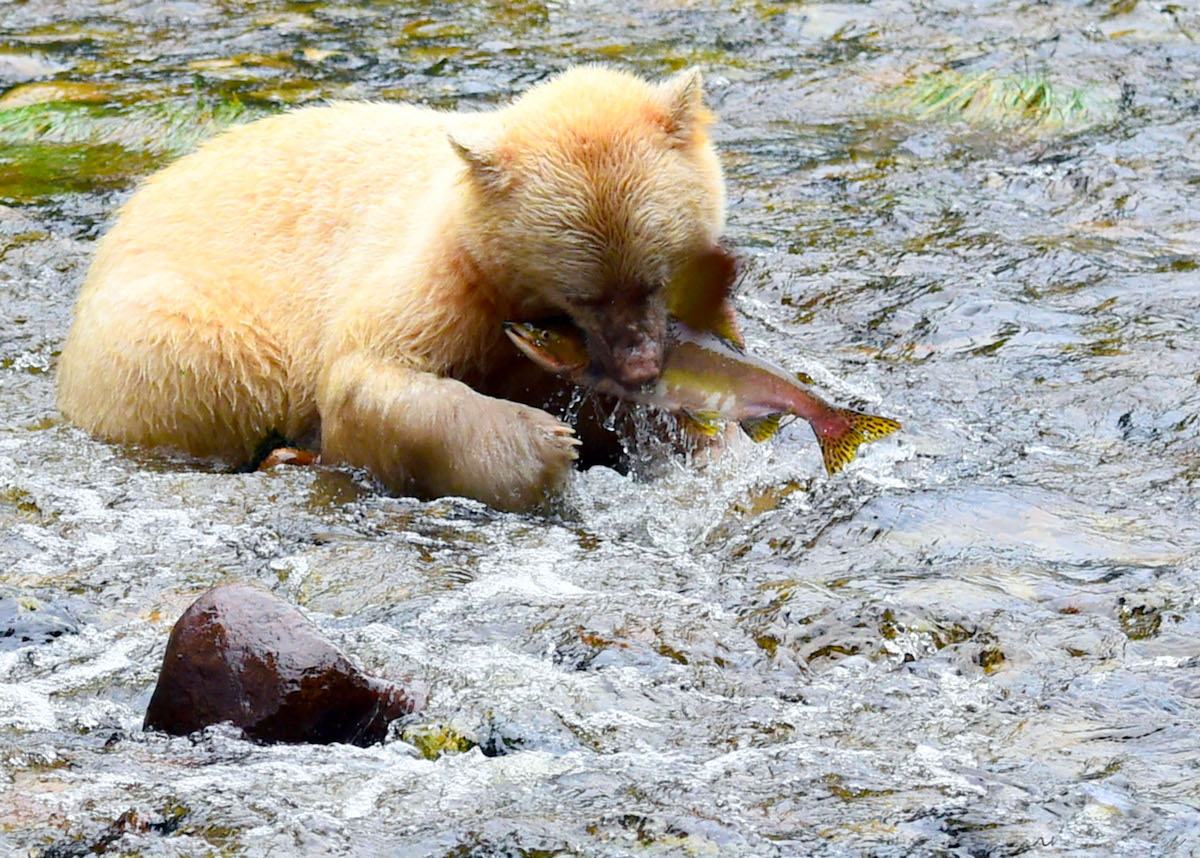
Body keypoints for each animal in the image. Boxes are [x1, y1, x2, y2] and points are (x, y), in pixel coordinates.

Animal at [56, 68, 724, 511]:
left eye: (655, 278)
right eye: (583, 295)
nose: (642, 367)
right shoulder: (443, 275)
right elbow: (365, 373)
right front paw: (547, 445)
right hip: (180, 335)